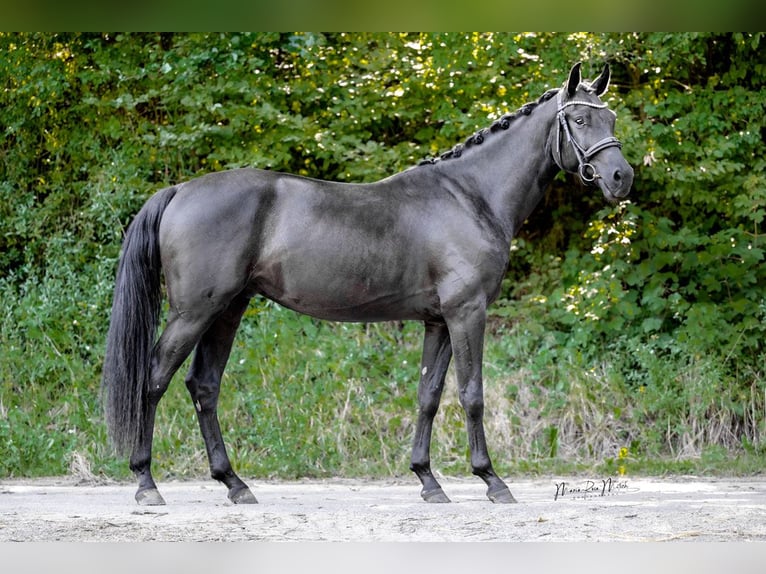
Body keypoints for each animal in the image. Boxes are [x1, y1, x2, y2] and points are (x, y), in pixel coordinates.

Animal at [102, 60, 636, 506]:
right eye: (579, 120)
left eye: (610, 118)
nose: (621, 177)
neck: (471, 196)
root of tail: (179, 191)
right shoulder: (467, 313)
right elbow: (472, 394)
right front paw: (491, 480)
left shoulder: (438, 322)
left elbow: (428, 396)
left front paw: (428, 480)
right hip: (194, 312)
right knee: (154, 379)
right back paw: (146, 483)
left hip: (227, 310)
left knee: (204, 386)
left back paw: (234, 484)